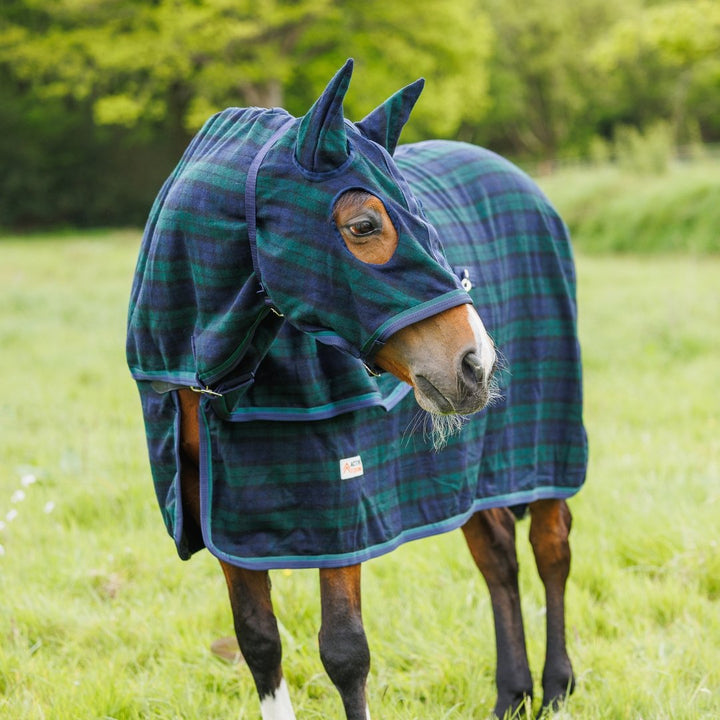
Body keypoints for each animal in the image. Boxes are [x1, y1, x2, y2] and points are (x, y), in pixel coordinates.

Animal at [126, 59, 587, 719]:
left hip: (543, 444)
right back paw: (510, 695)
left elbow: (345, 652)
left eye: (423, 216)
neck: (215, 377)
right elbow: (257, 641)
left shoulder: (342, 505)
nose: (476, 362)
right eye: (363, 224)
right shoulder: (227, 515)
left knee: (551, 548)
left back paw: (554, 687)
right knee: (496, 555)